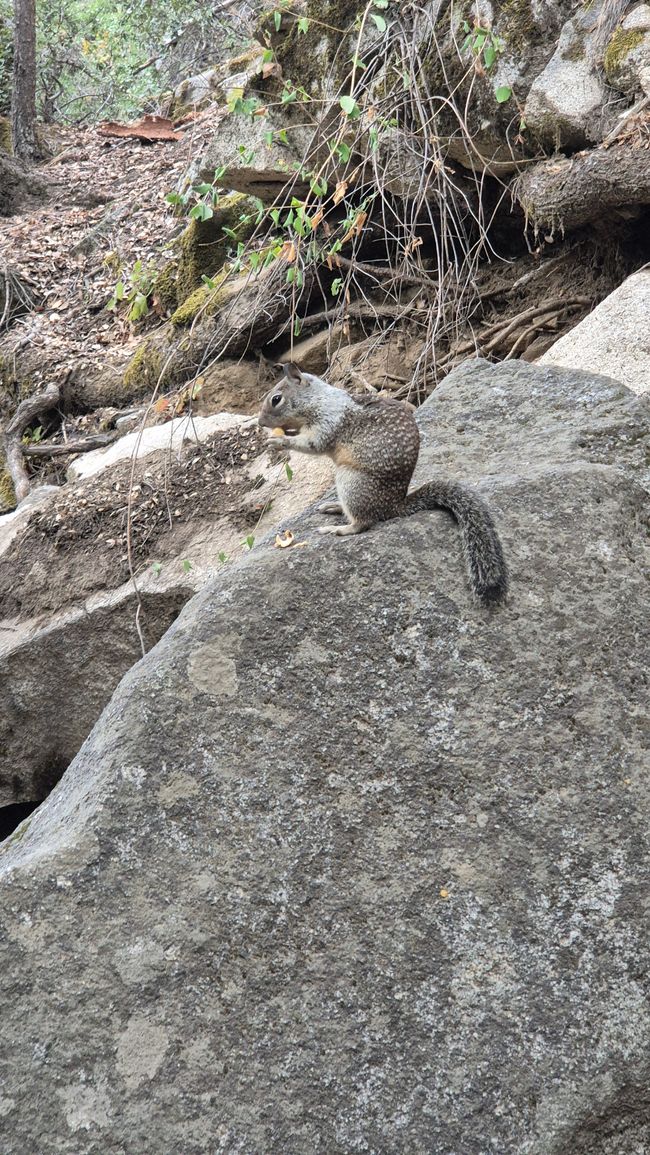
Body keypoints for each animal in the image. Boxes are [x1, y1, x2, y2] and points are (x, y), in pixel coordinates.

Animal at [259, 364, 507, 609]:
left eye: (276, 399)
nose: (260, 423)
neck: (319, 399)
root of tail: (394, 506)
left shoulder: (328, 422)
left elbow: (313, 444)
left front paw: (280, 441)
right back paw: (334, 507)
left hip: (350, 480)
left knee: (365, 522)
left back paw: (339, 529)